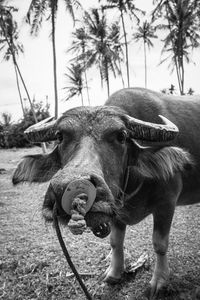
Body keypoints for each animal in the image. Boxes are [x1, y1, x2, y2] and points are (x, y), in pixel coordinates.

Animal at [13, 86, 199, 298]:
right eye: (60, 136)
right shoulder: (114, 209)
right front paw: (114, 273)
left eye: (121, 136)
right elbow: (115, 241)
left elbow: (159, 244)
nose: (69, 187)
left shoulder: (166, 204)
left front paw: (159, 281)